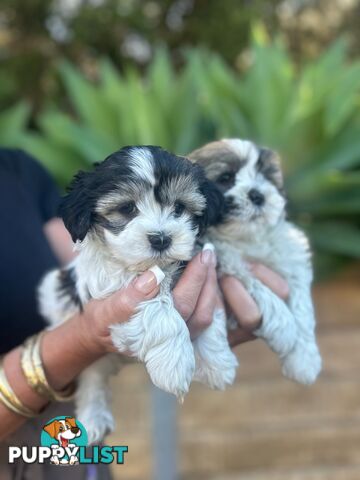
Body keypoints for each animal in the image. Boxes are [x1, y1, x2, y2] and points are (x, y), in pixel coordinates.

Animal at [38, 145, 236, 442]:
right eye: (127, 208)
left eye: (179, 208)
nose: (161, 238)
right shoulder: (114, 283)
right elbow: (159, 307)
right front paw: (174, 365)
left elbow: (211, 312)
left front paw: (218, 361)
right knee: (92, 373)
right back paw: (93, 415)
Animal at [190, 139, 322, 386]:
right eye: (226, 177)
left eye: (266, 176)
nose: (258, 195)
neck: (246, 239)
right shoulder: (225, 261)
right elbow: (254, 283)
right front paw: (285, 328)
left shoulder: (293, 256)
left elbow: (302, 304)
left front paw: (304, 359)